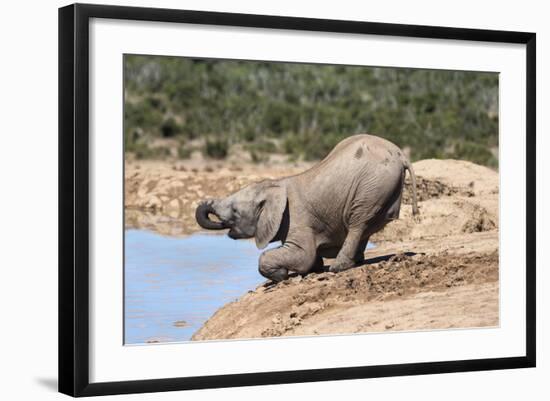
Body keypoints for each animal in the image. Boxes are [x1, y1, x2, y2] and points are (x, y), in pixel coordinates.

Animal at [196, 134, 420, 282]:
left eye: (235, 211)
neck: (274, 185)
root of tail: (400, 154)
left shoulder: (297, 218)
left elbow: (303, 255)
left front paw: (281, 276)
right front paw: (313, 269)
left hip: (372, 185)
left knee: (358, 222)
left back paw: (338, 268)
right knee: (365, 226)